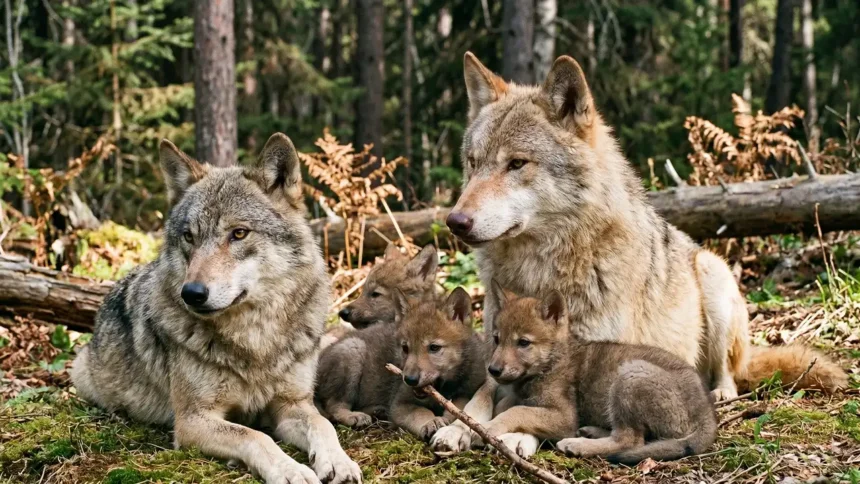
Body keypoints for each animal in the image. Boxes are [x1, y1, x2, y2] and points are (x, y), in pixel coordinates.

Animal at [71, 134, 362, 484]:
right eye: (188, 236)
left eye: (239, 233)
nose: (192, 294)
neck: (256, 339)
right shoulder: (192, 420)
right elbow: (255, 436)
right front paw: (291, 470)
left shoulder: (291, 404)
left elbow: (322, 424)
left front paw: (339, 461)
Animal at [389, 288, 490, 440]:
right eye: (405, 348)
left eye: (434, 347)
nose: (410, 380)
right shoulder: (399, 404)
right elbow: (420, 412)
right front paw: (431, 422)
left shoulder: (467, 392)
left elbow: (458, 407)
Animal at [482, 285, 717, 464]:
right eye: (496, 339)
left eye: (523, 343)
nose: (493, 370)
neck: (552, 363)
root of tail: (706, 412)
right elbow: (508, 405)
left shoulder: (565, 417)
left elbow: (517, 411)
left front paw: (489, 428)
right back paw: (591, 432)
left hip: (631, 375)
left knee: (629, 440)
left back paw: (576, 444)